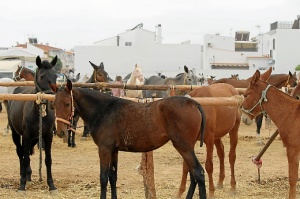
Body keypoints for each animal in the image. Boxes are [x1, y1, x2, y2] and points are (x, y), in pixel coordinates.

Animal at [7, 55, 58, 193]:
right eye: (41, 76)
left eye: (56, 76)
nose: (51, 100)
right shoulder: (26, 135)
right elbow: (25, 158)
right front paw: (22, 185)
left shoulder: (47, 136)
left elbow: (48, 160)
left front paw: (51, 185)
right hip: (16, 134)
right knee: (20, 153)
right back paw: (23, 175)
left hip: (35, 138)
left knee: (27, 151)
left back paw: (28, 174)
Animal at [50, 79, 207, 199]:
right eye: (53, 105)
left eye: (67, 104)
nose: (60, 132)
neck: (103, 110)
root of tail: (194, 103)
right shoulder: (113, 150)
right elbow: (112, 177)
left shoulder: (104, 149)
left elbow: (103, 178)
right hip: (186, 148)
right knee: (193, 174)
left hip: (184, 147)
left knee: (198, 173)